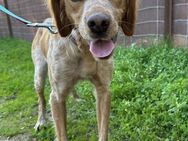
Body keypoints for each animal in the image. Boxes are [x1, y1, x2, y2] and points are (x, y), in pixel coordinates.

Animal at [31, 0, 137, 140]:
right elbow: (61, 133)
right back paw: (41, 121)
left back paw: (76, 98)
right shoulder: (56, 96)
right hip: (39, 75)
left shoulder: (103, 90)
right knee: (41, 99)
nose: (98, 23)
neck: (84, 50)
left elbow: (103, 131)